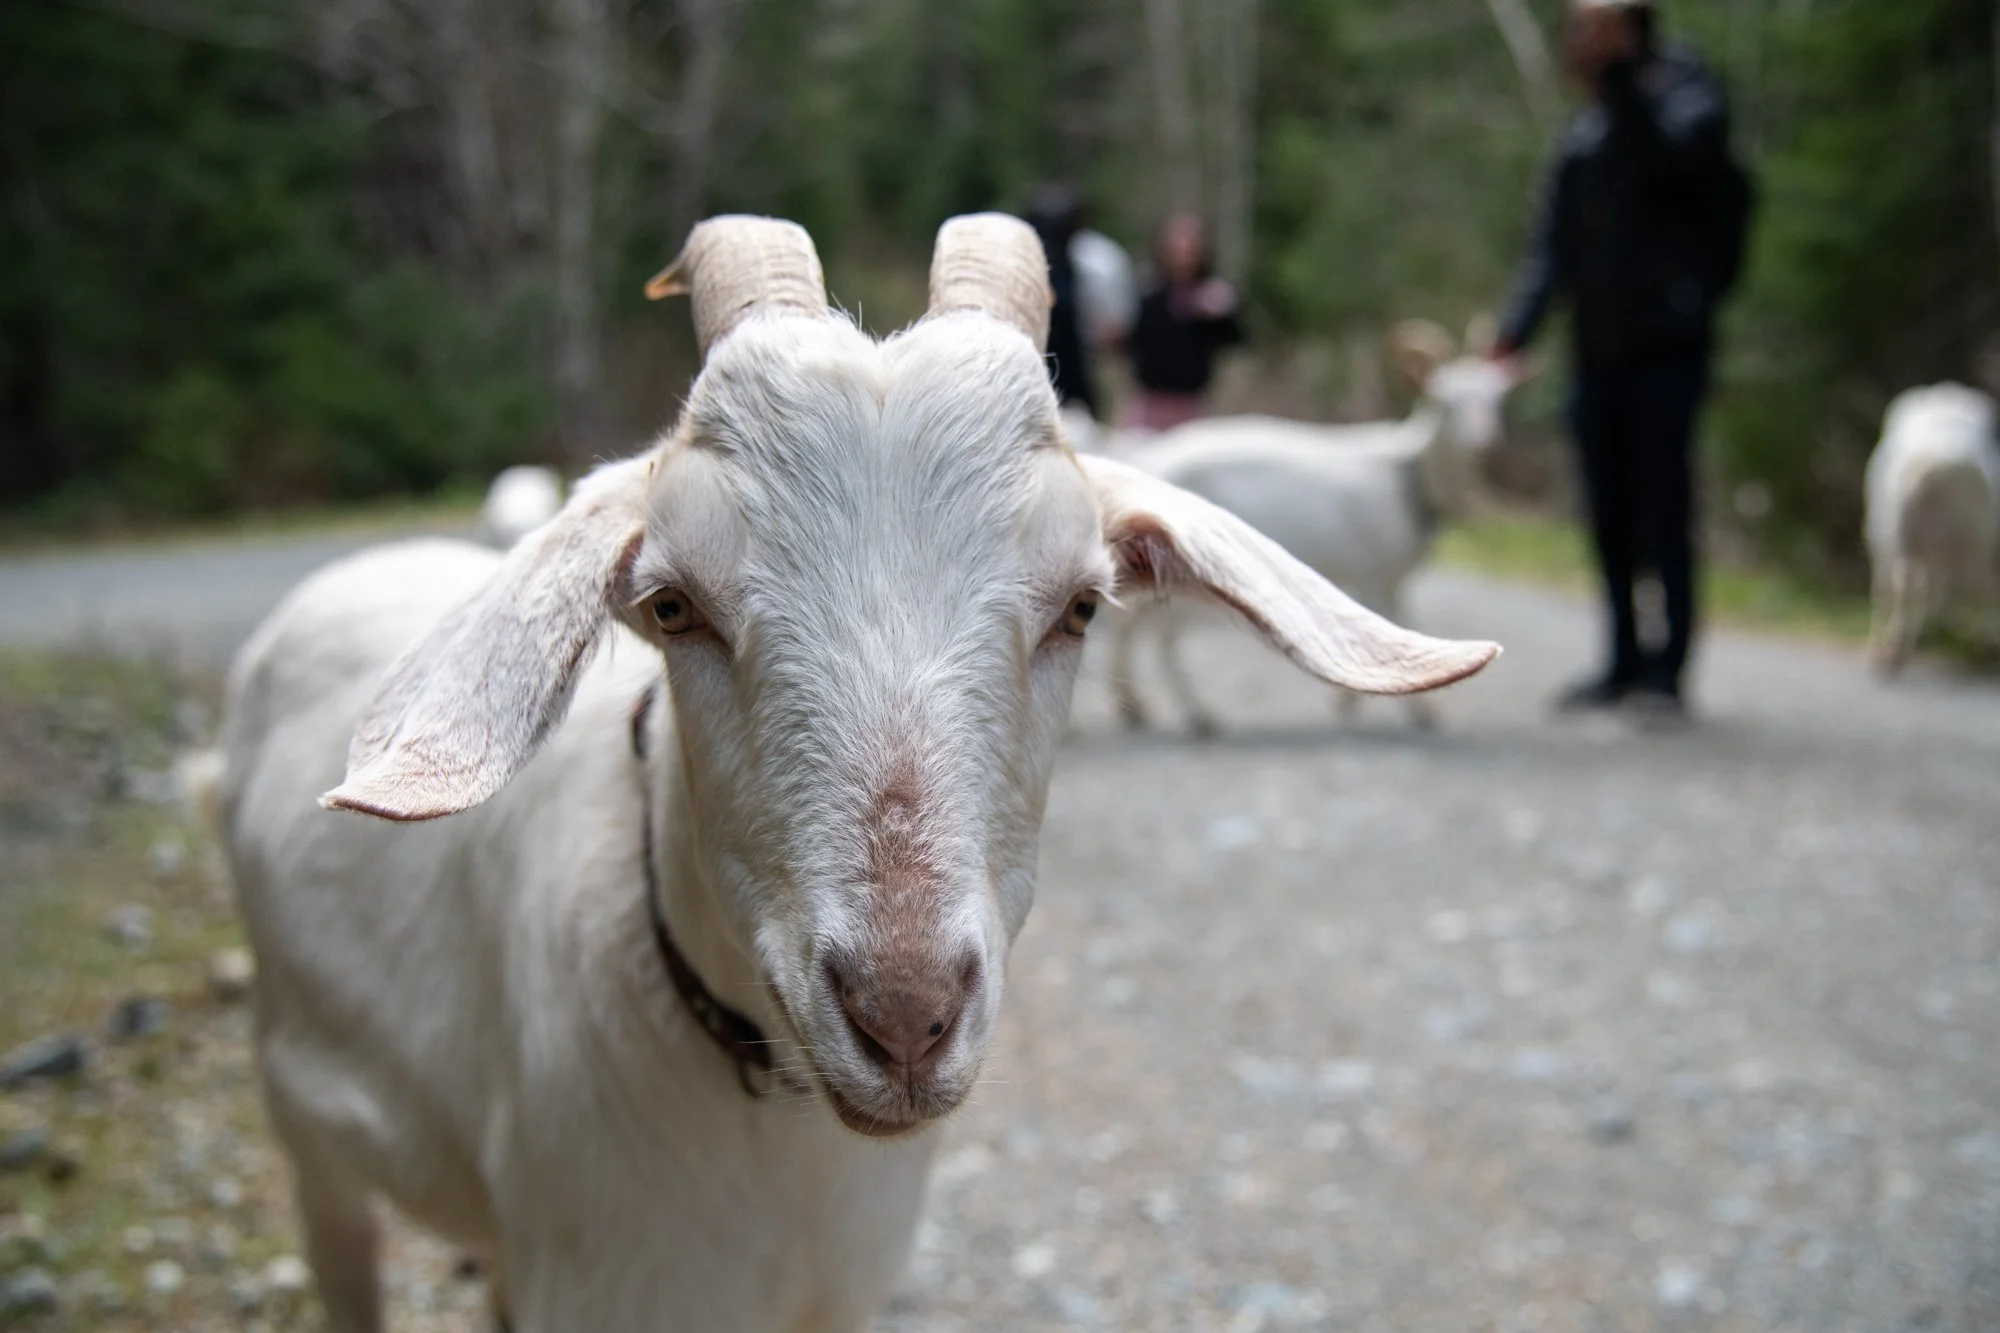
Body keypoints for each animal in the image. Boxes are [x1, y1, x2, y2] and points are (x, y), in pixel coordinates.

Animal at [1107, 319, 1533, 733]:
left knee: (1132, 627)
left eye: (1496, 399)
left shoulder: (1388, 578)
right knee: (1161, 638)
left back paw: (1139, 710)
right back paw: (1197, 714)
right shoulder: (1376, 573)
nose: (1482, 443)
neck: (1409, 473)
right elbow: (1393, 627)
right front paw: (1412, 710)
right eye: (1443, 402)